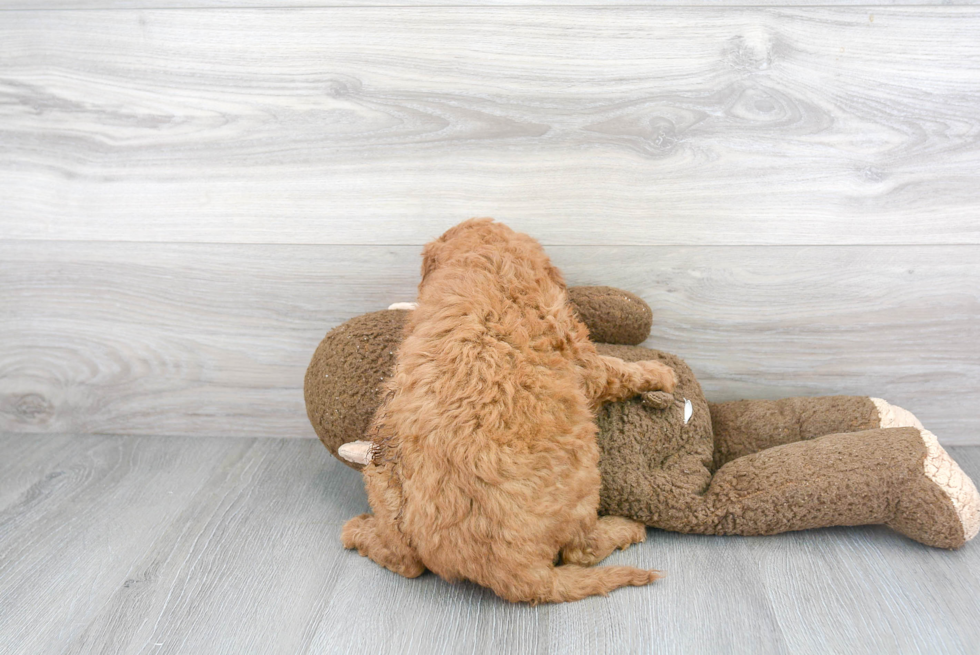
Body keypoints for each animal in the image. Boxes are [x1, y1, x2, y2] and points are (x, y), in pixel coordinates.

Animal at [342, 219, 672, 604]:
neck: (486, 263)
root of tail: (521, 576)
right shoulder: (579, 353)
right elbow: (617, 370)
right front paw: (661, 373)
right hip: (584, 478)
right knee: (581, 550)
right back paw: (626, 527)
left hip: (382, 468)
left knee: (407, 562)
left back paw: (359, 531)